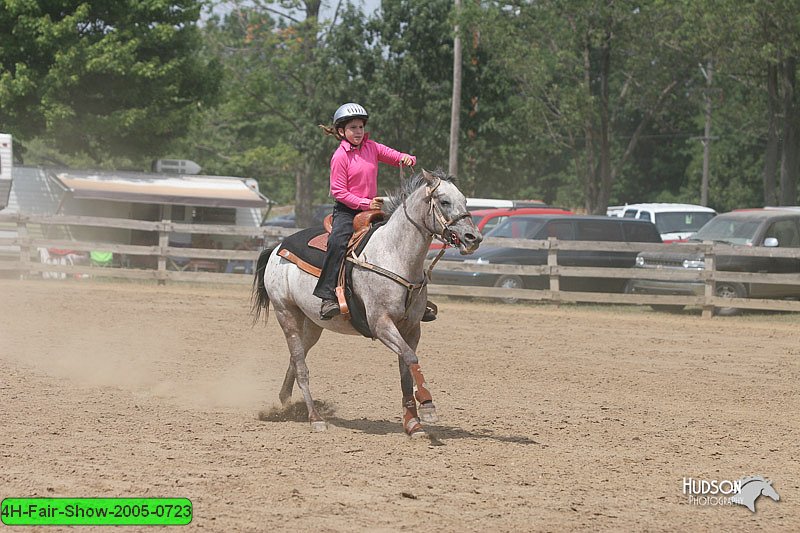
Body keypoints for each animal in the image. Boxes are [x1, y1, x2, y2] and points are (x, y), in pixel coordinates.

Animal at [253, 170, 484, 436]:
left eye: (465, 201)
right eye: (444, 201)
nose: (473, 238)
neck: (395, 255)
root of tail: (278, 247)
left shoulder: (411, 328)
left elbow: (406, 368)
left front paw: (413, 423)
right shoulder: (381, 324)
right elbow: (411, 358)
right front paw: (427, 406)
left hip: (312, 323)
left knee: (295, 357)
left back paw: (287, 403)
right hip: (286, 313)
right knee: (301, 365)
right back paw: (315, 418)